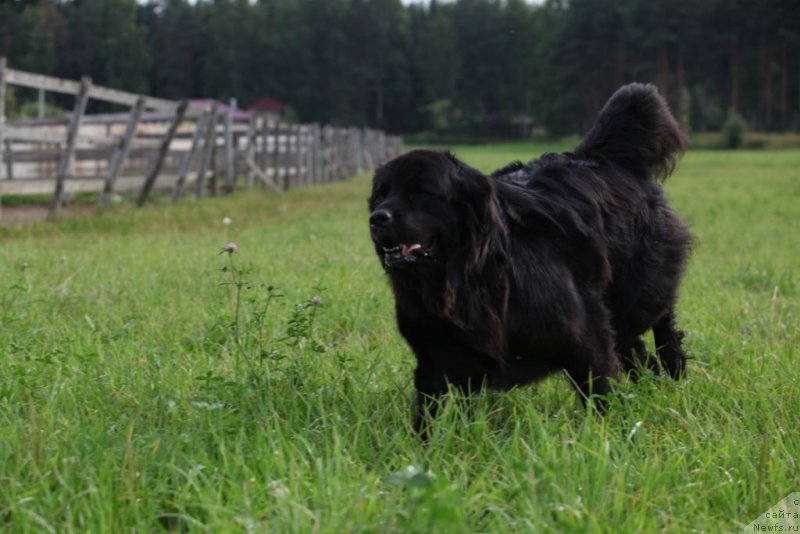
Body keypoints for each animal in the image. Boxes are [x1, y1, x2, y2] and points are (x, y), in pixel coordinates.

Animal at [368, 84, 692, 436]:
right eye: (381, 194)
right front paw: (424, 444)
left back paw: (673, 367)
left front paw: (612, 433)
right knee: (634, 347)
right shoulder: (435, 354)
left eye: (420, 193)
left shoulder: (584, 331)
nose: (377, 218)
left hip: (638, 289)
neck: (470, 275)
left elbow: (600, 384)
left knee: (660, 320)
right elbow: (428, 412)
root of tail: (599, 157)